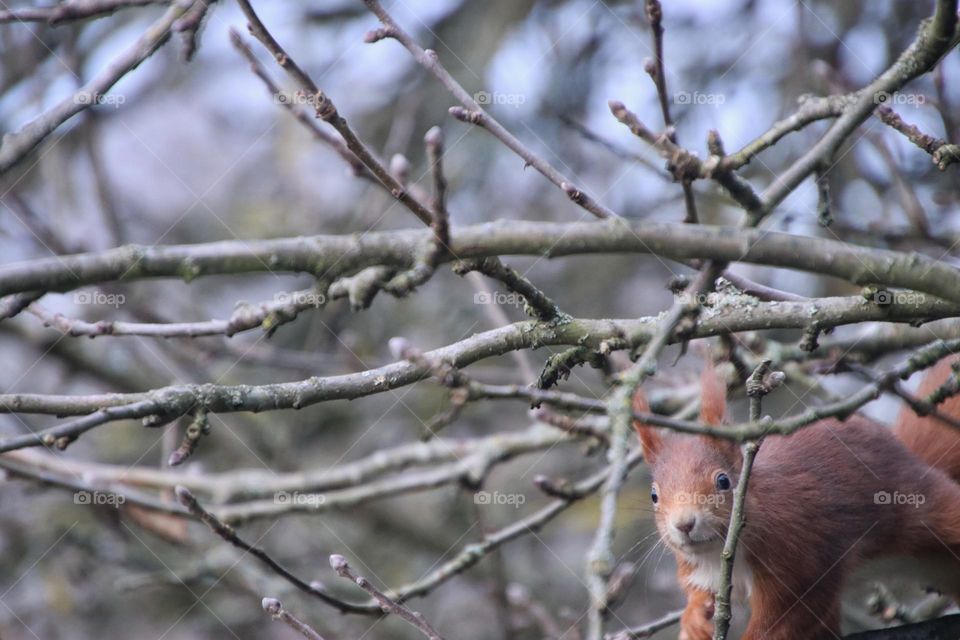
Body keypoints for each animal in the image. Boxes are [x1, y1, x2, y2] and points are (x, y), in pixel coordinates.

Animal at [632, 356, 960, 640]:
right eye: (654, 495)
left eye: (723, 481)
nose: (684, 524)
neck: (722, 552)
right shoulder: (698, 570)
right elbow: (699, 595)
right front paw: (694, 620)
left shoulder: (798, 558)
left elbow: (784, 619)